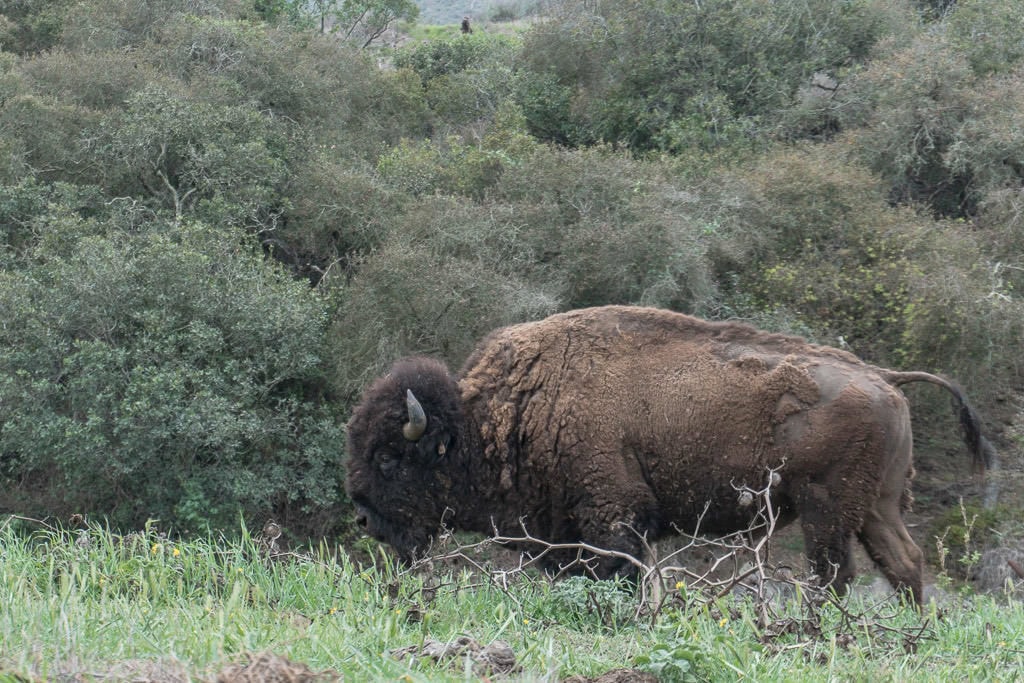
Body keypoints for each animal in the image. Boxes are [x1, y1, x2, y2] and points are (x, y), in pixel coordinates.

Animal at [346, 305, 991, 602]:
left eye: (387, 459)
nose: (364, 518)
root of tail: (881, 375)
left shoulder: (615, 518)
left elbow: (622, 574)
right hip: (877, 505)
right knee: (904, 562)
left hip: (827, 509)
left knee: (835, 573)